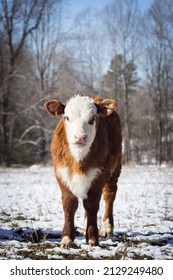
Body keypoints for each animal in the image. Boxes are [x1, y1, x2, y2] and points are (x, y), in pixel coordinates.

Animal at [44, 94, 121, 247]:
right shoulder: (61, 174)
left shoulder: (99, 175)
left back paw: (106, 228)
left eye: (93, 119)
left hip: (115, 169)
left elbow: (91, 205)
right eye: (67, 117)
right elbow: (69, 204)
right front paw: (67, 238)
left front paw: (92, 239)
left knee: (109, 195)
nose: (80, 137)